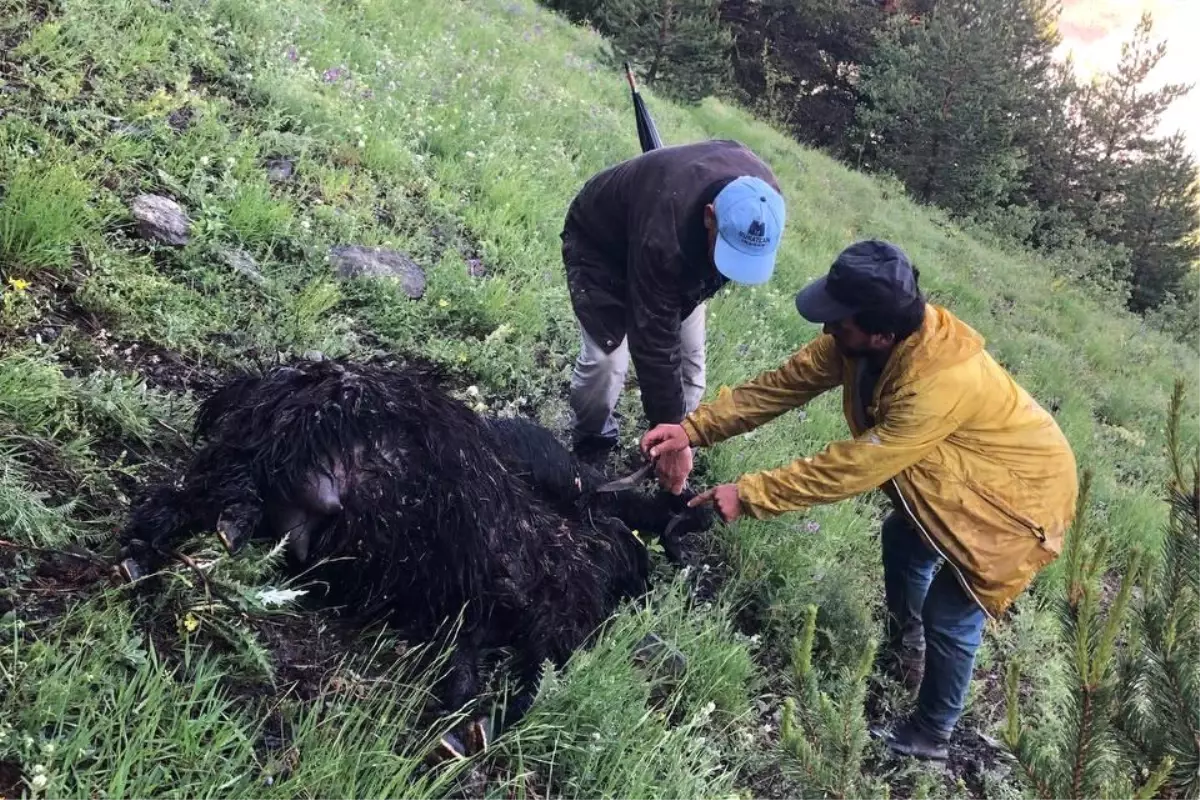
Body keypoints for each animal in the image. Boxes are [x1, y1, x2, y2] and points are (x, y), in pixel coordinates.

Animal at [115, 355, 705, 758]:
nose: (644, 574)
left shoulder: (466, 613)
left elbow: (474, 671)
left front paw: (462, 732)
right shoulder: (523, 610)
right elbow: (522, 678)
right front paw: (467, 732)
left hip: (242, 459)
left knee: (182, 503)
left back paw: (145, 559)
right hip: (267, 454)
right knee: (207, 500)